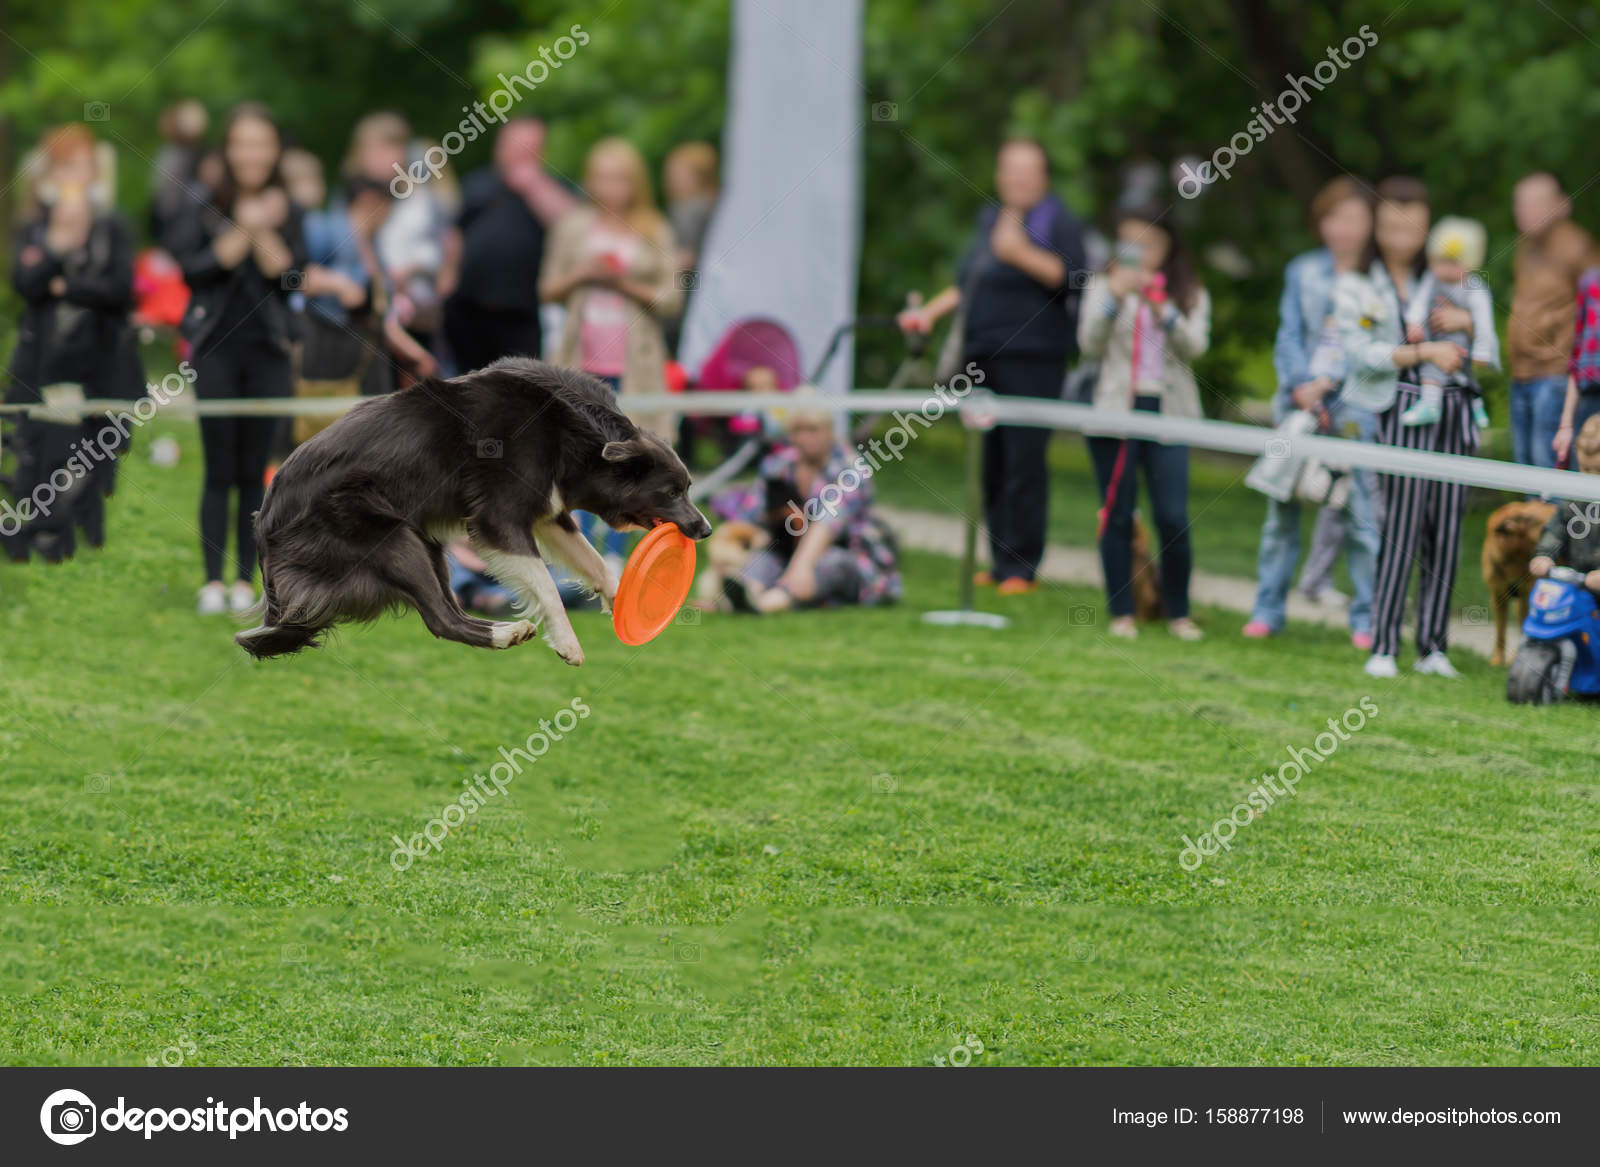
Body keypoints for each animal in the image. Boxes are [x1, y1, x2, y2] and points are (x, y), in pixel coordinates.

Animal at [233, 355, 710, 665]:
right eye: (671, 492)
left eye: (688, 488)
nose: (704, 529)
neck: (574, 432)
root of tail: (263, 528)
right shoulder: (500, 519)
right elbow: (547, 587)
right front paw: (568, 643)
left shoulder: (549, 513)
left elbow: (594, 564)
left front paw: (618, 596)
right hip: (391, 539)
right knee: (441, 620)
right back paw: (506, 633)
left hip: (424, 542)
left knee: (449, 611)